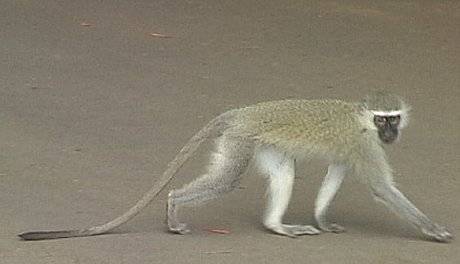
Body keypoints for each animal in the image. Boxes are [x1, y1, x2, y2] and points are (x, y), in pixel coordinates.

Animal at [18, 94, 452, 242]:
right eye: (382, 120)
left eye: (394, 118)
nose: (391, 132)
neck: (362, 121)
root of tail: (241, 113)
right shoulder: (365, 144)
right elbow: (383, 190)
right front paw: (433, 229)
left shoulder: (353, 151)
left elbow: (335, 175)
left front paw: (323, 220)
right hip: (241, 141)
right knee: (226, 180)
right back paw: (173, 205)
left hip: (261, 144)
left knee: (284, 172)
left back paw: (278, 226)